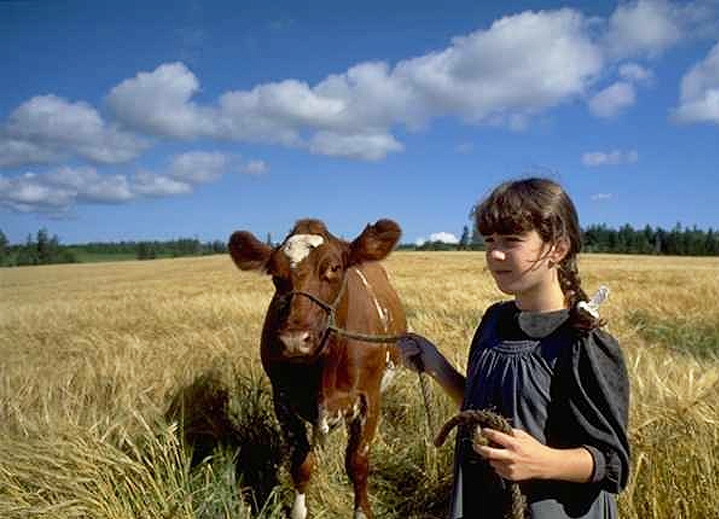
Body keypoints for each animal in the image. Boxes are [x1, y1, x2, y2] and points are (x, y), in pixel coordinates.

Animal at [231, 218, 410, 519]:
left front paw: (362, 511)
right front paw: (298, 511)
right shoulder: (283, 400)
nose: (294, 340)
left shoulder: (369, 398)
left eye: (334, 268)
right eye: (275, 274)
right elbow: (301, 463)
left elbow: (358, 463)